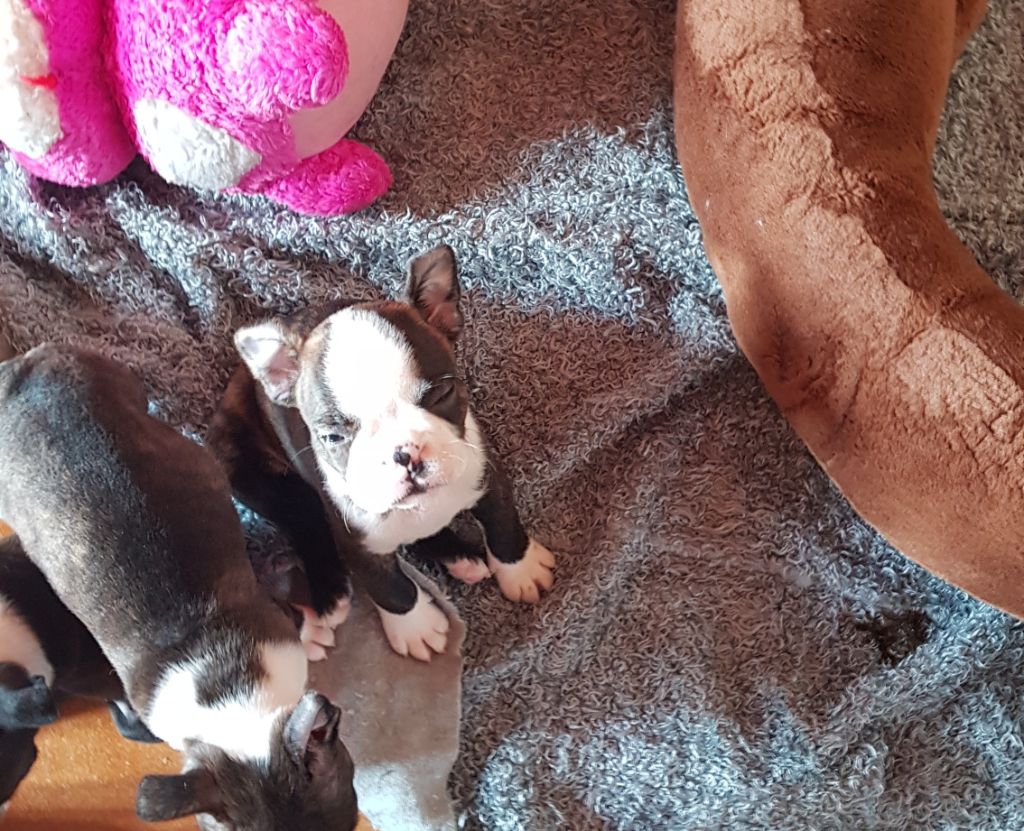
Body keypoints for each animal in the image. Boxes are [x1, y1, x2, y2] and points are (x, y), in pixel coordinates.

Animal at [207, 245, 555, 662]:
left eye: (442, 393)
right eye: (333, 436)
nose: (405, 454)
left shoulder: (485, 472)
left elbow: (503, 523)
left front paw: (520, 570)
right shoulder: (356, 538)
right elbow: (389, 585)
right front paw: (415, 626)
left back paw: (462, 558)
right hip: (243, 465)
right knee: (303, 520)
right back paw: (331, 593)